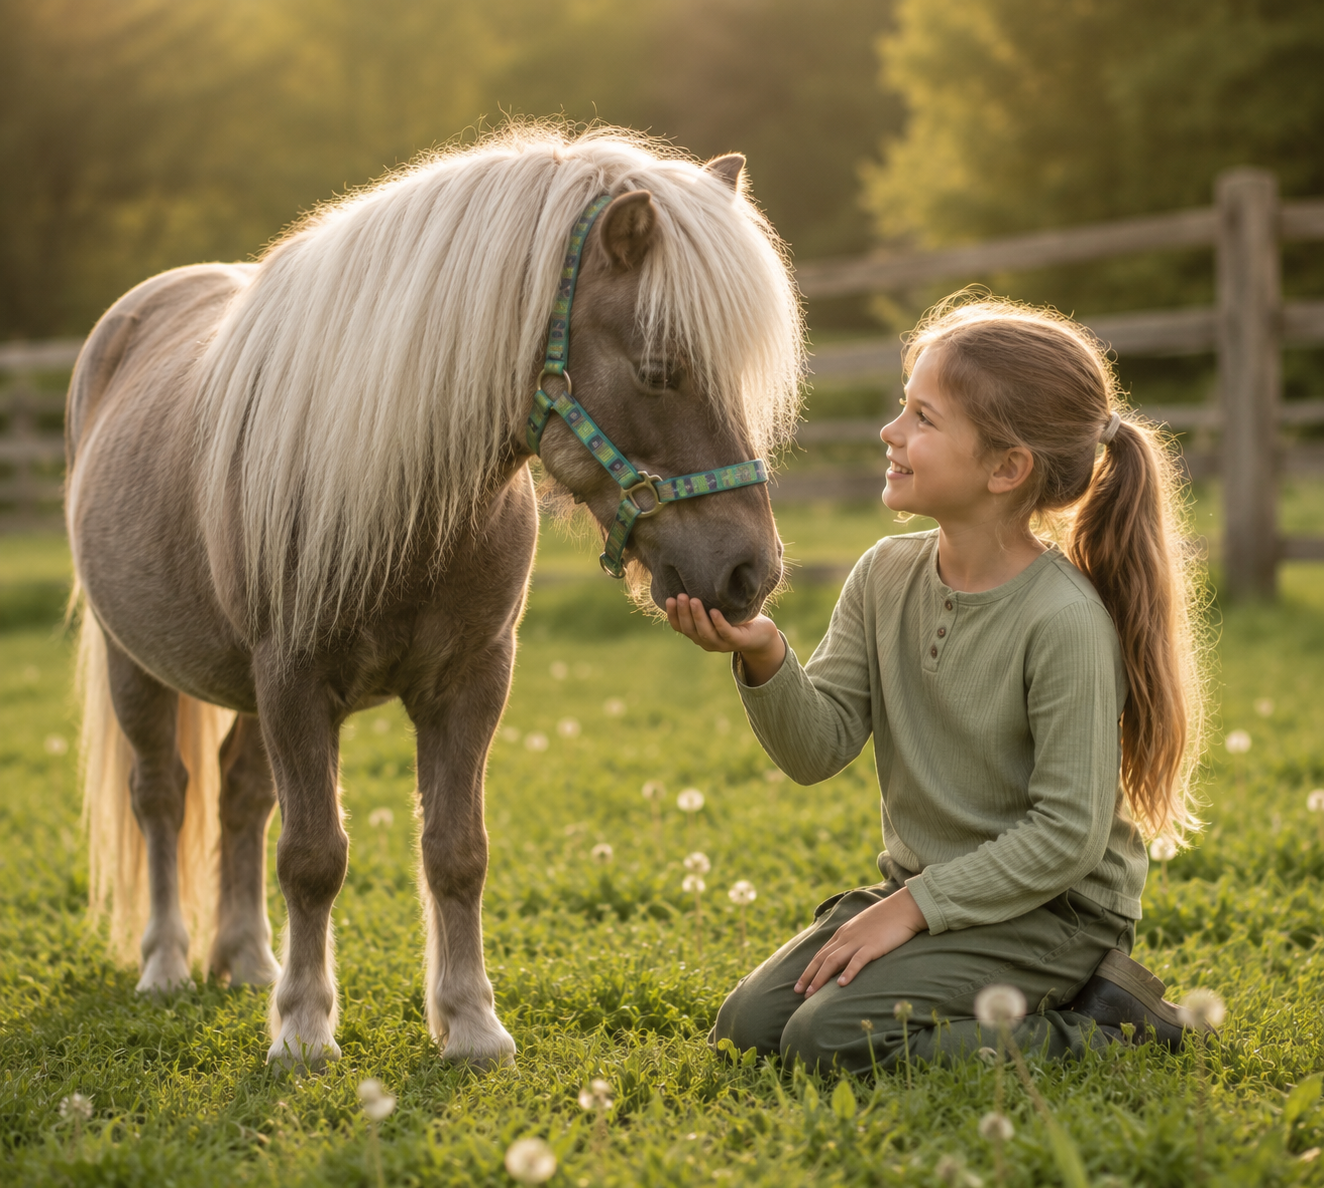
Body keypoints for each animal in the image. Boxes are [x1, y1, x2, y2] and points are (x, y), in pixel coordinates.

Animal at [66, 126, 803, 1069]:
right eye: (658, 368)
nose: (752, 570)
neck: (406, 490)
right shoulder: (294, 681)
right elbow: (313, 855)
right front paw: (304, 1029)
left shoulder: (470, 682)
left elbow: (457, 850)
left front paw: (470, 1023)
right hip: (137, 666)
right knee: (162, 795)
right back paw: (166, 964)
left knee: (238, 798)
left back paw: (247, 961)